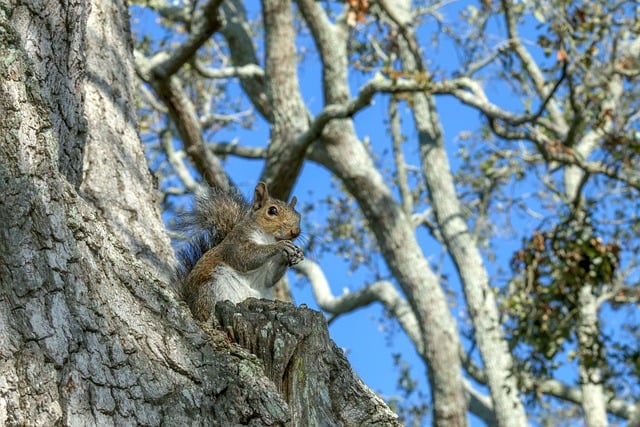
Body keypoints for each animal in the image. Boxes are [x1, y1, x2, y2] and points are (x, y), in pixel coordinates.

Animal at [176, 183, 304, 320]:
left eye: (299, 216)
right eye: (272, 211)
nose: (295, 232)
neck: (268, 238)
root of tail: (190, 304)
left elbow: (270, 279)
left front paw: (295, 255)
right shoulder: (236, 242)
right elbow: (245, 257)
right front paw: (280, 246)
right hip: (210, 290)